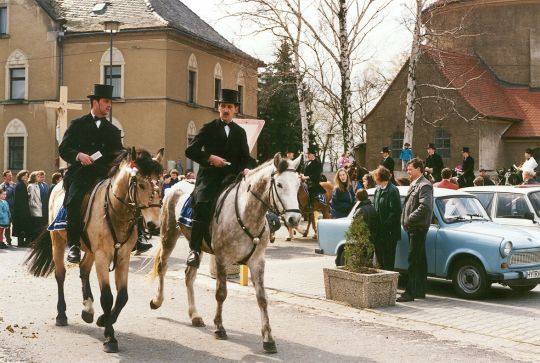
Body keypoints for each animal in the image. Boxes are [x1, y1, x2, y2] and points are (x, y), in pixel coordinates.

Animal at [25, 147, 163, 352]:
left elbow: (122, 297)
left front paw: (103, 319)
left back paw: (88, 310)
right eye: (140, 184)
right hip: (58, 241)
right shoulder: (102, 256)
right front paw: (110, 337)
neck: (115, 211)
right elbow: (107, 297)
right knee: (60, 275)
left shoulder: (122, 257)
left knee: (83, 270)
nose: (154, 226)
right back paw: (61, 314)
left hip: (90, 250)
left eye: (160, 183)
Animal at [150, 154, 302, 356]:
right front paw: (219, 328)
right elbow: (221, 293)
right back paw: (157, 301)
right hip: (168, 235)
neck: (247, 213)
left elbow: (262, 299)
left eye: (298, 184)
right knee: (162, 266)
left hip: (195, 246)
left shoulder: (257, 261)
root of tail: (175, 185)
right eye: (279, 184)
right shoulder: (222, 259)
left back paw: (195, 315)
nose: (294, 219)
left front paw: (268, 339)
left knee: (189, 276)